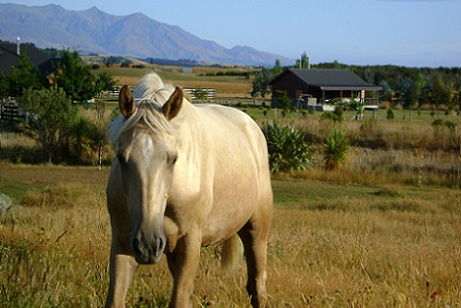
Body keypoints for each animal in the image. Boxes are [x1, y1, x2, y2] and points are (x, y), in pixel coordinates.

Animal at [105, 73, 272, 308]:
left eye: (173, 158)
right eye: (121, 157)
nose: (148, 245)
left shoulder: (190, 243)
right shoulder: (122, 242)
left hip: (257, 231)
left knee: (257, 287)